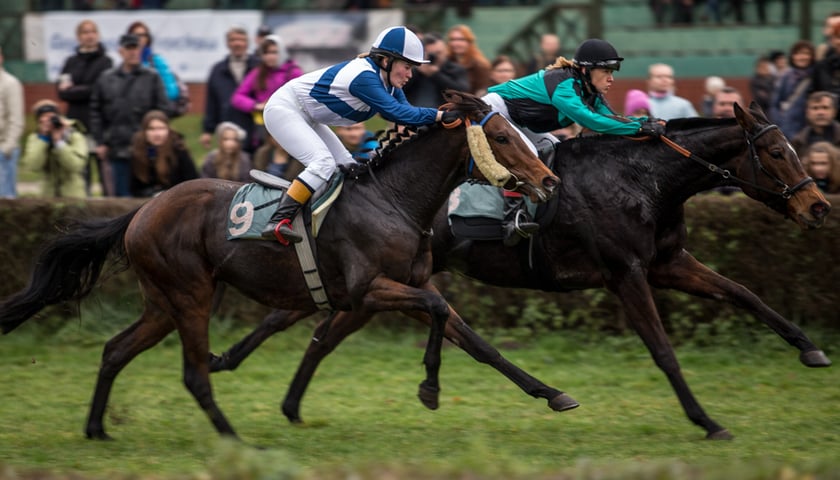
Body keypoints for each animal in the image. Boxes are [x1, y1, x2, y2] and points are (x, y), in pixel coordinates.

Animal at [1, 92, 564, 440]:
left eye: (519, 131)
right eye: (503, 138)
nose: (550, 180)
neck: (394, 200)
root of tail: (141, 209)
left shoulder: (403, 286)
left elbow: (476, 342)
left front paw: (552, 393)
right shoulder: (368, 290)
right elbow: (436, 309)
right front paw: (429, 389)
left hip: (163, 303)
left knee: (116, 350)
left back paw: (96, 427)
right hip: (190, 295)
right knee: (193, 373)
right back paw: (233, 439)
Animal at [208, 103, 828, 440]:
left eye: (795, 148)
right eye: (777, 153)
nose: (820, 207)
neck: (642, 179)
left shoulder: (666, 263)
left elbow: (744, 293)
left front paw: (810, 348)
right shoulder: (626, 272)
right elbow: (663, 350)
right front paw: (706, 420)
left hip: (391, 280)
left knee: (324, 324)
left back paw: (276, 392)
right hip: (394, 279)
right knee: (316, 319)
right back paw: (237, 366)